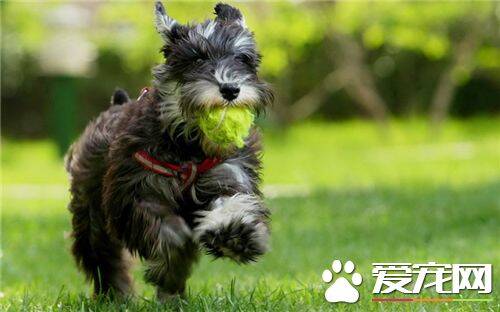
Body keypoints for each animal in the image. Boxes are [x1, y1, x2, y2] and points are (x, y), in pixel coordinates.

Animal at [65, 1, 274, 300]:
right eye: (197, 59)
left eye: (242, 58)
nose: (230, 89)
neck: (188, 146)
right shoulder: (137, 192)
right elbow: (167, 232)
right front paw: (174, 260)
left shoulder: (229, 174)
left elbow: (231, 203)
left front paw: (235, 234)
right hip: (91, 214)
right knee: (103, 257)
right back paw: (117, 295)